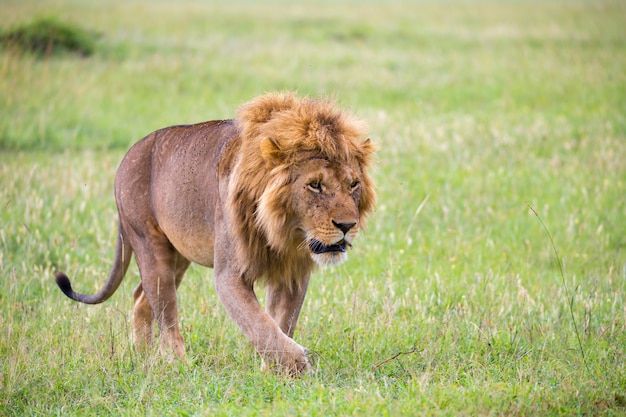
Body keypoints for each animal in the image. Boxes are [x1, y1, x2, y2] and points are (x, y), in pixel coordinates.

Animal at [53, 92, 372, 374]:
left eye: (353, 184)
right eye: (315, 185)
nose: (347, 225)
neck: (283, 229)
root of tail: (129, 153)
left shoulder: (292, 273)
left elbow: (281, 322)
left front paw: (274, 371)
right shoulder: (229, 275)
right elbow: (259, 323)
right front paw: (297, 364)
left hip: (178, 256)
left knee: (141, 298)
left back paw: (142, 357)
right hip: (149, 244)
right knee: (165, 312)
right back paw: (177, 364)